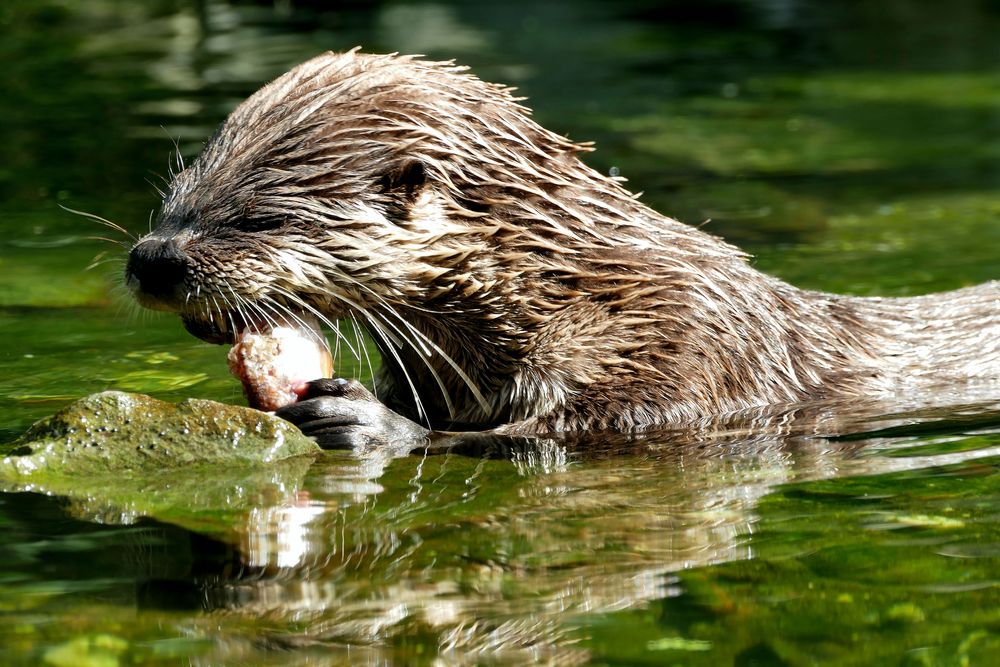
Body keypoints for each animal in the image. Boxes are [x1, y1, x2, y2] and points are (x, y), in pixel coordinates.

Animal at [125, 51, 1000, 448]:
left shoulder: (683, 347)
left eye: (256, 220)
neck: (567, 287)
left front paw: (373, 422)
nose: (152, 259)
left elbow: (566, 431)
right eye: (176, 193)